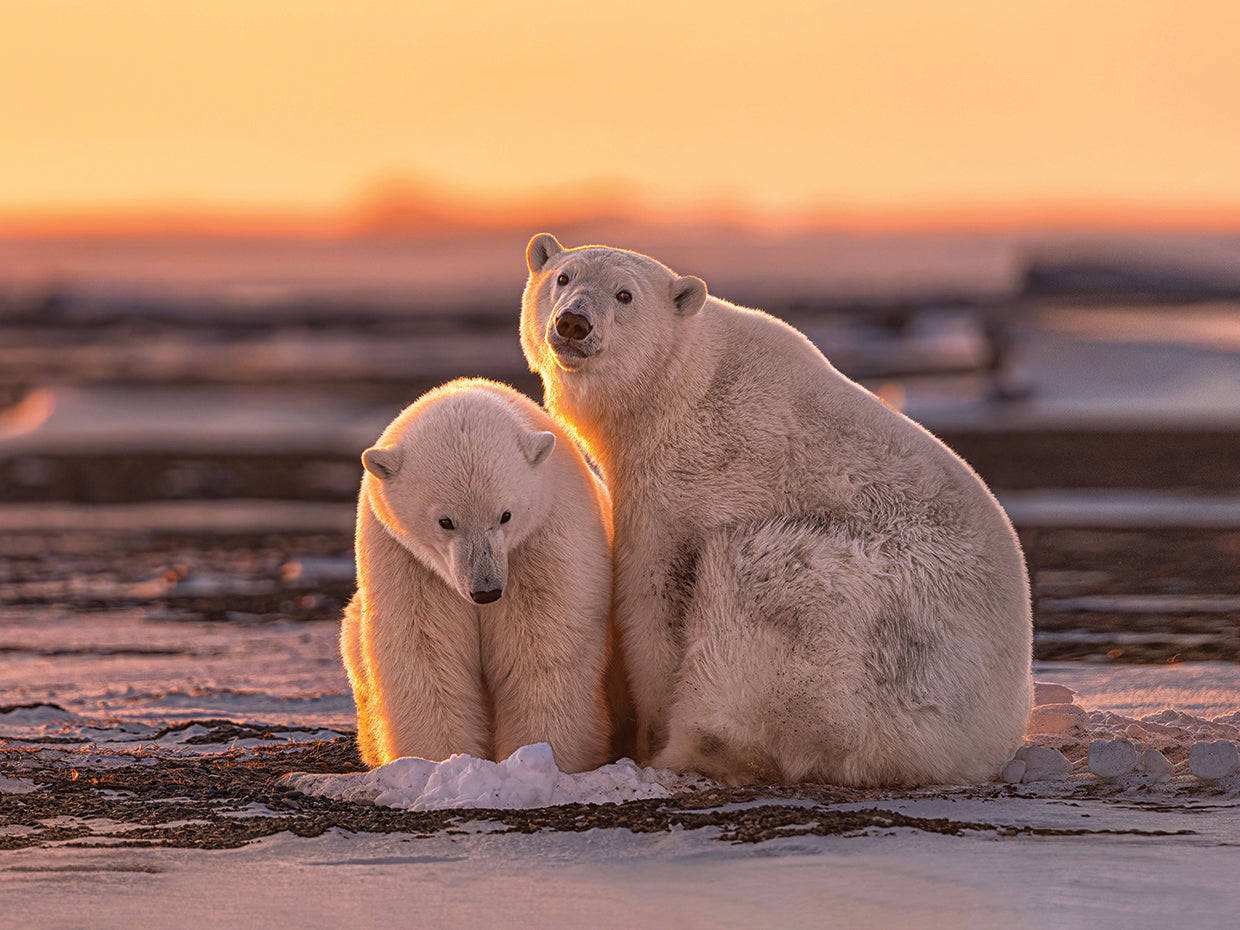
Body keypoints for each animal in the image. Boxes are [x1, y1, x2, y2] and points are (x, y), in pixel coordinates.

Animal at [340, 377, 617, 773]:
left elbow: (544, 644)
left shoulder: (543, 541)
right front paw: (441, 761)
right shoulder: (407, 560)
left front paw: (545, 757)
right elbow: (425, 649)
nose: (486, 591)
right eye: (445, 521)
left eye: (505, 515)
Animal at [520, 233, 1033, 787]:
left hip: (878, 637)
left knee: (760, 580)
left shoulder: (690, 481)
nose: (574, 322)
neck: (679, 389)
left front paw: (645, 739)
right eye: (563, 277)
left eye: (624, 295)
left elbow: (654, 601)